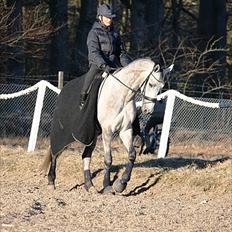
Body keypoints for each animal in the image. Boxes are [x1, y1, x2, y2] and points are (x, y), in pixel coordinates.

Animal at [41, 58, 172, 194]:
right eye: (151, 84)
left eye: (161, 87)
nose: (148, 111)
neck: (122, 95)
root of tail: (63, 90)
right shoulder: (107, 132)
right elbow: (108, 159)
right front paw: (107, 185)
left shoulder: (125, 130)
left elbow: (132, 154)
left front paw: (121, 183)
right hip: (64, 133)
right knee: (55, 153)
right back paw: (51, 181)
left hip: (91, 136)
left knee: (85, 155)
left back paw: (89, 185)